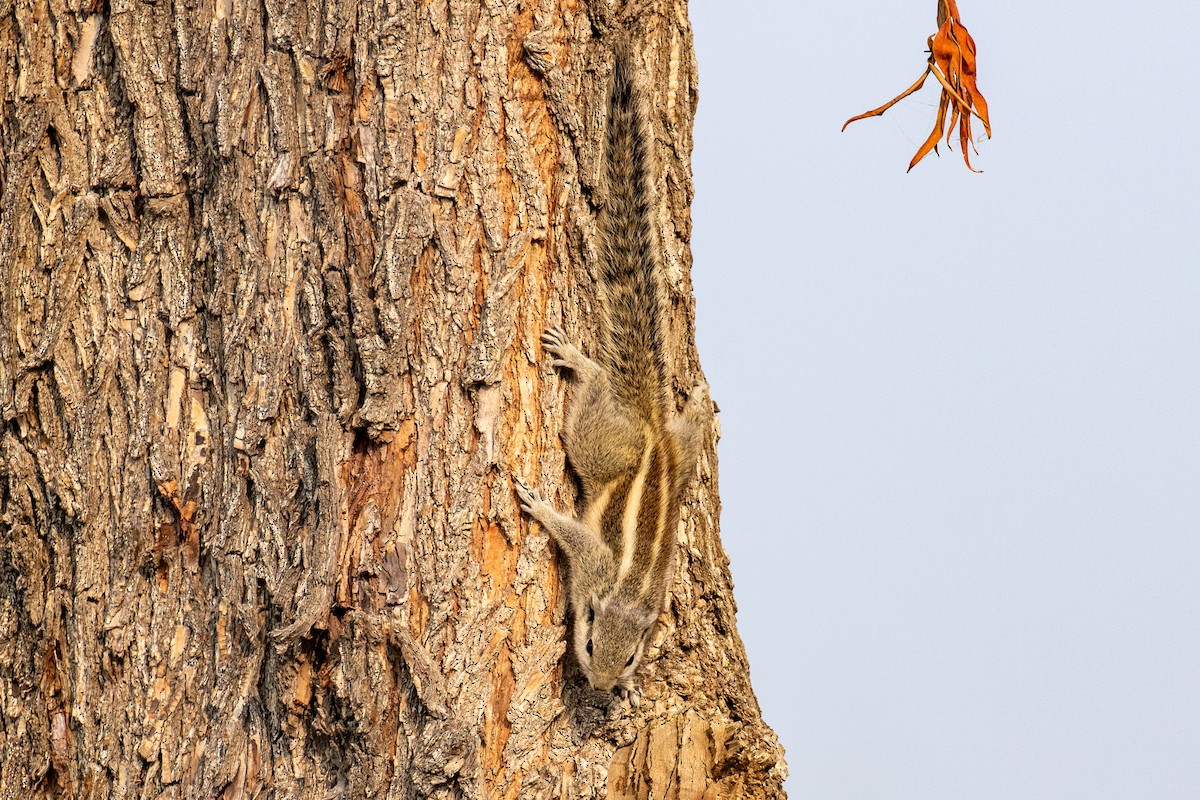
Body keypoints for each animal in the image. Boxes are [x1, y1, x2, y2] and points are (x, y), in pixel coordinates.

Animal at [515, 42, 711, 697]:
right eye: (591, 641)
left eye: (629, 659)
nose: (602, 686)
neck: (624, 594)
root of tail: (650, 421)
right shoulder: (595, 562)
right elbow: (573, 534)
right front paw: (539, 508)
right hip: (603, 443)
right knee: (599, 395)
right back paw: (587, 362)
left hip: (643, 445)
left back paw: (696, 402)